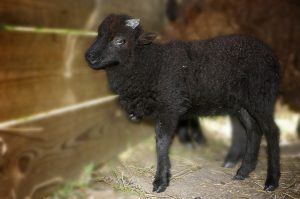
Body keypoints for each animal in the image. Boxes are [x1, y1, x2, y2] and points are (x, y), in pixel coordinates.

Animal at [85, 14, 282, 193]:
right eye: (99, 34)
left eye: (120, 40)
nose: (89, 56)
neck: (152, 63)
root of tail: (271, 56)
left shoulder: (169, 106)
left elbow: (162, 142)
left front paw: (161, 182)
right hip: (243, 104)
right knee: (253, 130)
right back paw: (243, 171)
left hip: (261, 97)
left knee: (272, 131)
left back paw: (271, 181)